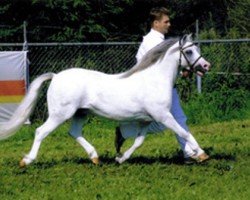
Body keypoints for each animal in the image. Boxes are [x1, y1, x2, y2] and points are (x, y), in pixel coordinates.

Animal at [0, 35, 211, 166]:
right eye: (189, 51)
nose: (206, 65)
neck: (154, 79)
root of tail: (56, 76)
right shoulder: (163, 116)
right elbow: (183, 132)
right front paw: (201, 154)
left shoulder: (146, 120)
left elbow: (138, 141)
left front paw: (121, 159)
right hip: (60, 114)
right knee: (40, 132)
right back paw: (26, 161)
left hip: (80, 113)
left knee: (74, 132)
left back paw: (95, 158)